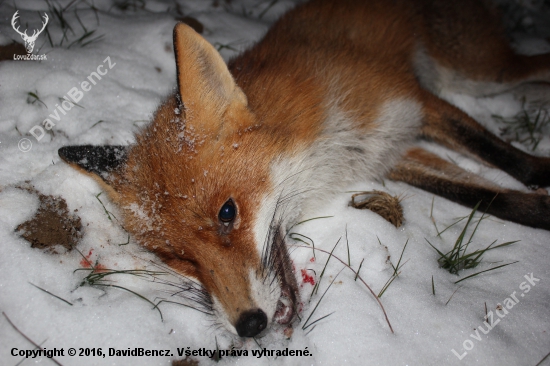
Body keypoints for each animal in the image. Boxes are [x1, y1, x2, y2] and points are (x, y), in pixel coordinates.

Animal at [59, 0, 550, 338]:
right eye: (179, 258)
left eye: (227, 213)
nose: (249, 325)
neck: (325, 145)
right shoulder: (394, 153)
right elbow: (496, 199)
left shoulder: (414, 102)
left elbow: (512, 162)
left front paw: (539, 172)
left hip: (480, 73)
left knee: (534, 66)